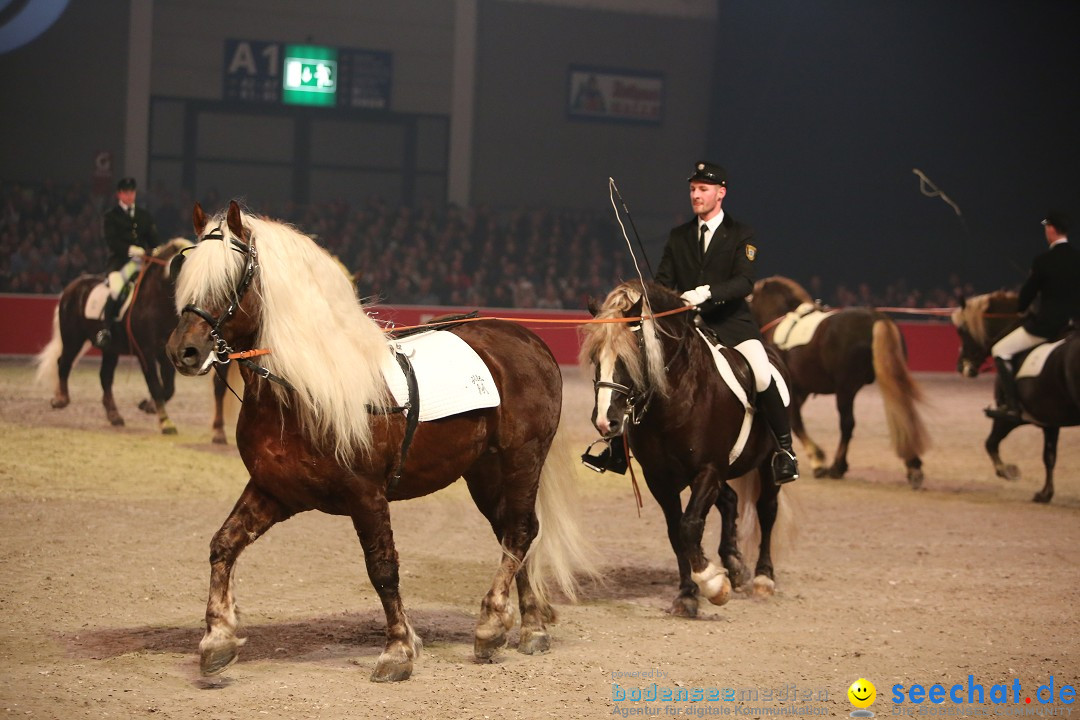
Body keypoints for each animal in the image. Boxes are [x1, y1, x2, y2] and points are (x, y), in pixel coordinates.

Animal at [33, 239, 225, 436]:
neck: (156, 300)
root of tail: (72, 287)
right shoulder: (145, 352)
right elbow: (155, 385)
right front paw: (165, 422)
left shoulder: (165, 353)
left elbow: (169, 387)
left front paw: (148, 406)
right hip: (73, 338)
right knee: (64, 362)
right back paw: (60, 399)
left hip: (110, 349)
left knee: (105, 376)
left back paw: (114, 415)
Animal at [165, 201, 596, 682]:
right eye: (186, 274)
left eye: (232, 277)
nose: (183, 352)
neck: (304, 388)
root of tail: (526, 338)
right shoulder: (274, 491)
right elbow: (223, 545)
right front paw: (217, 640)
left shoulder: (366, 494)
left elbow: (383, 568)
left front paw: (397, 651)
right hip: (484, 472)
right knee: (515, 532)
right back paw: (529, 625)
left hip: (522, 459)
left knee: (520, 532)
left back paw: (491, 624)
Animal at [583, 278, 794, 617]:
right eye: (594, 357)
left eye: (633, 353)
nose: (605, 422)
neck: (676, 400)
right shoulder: (660, 479)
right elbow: (676, 532)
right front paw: (688, 593)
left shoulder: (707, 470)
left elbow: (690, 525)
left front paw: (712, 584)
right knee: (731, 501)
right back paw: (734, 564)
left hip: (766, 465)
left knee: (767, 509)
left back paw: (763, 578)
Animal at [751, 276, 928, 490]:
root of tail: (875, 318)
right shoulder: (802, 391)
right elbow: (795, 422)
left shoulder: (792, 389)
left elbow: (795, 422)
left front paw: (818, 461)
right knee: (903, 412)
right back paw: (913, 466)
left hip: (846, 389)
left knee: (847, 424)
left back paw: (838, 466)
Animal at [950, 289, 1075, 505]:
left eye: (962, 331)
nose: (961, 367)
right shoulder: (1051, 420)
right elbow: (1049, 456)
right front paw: (1045, 494)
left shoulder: (1009, 418)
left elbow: (990, 443)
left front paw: (1008, 471)